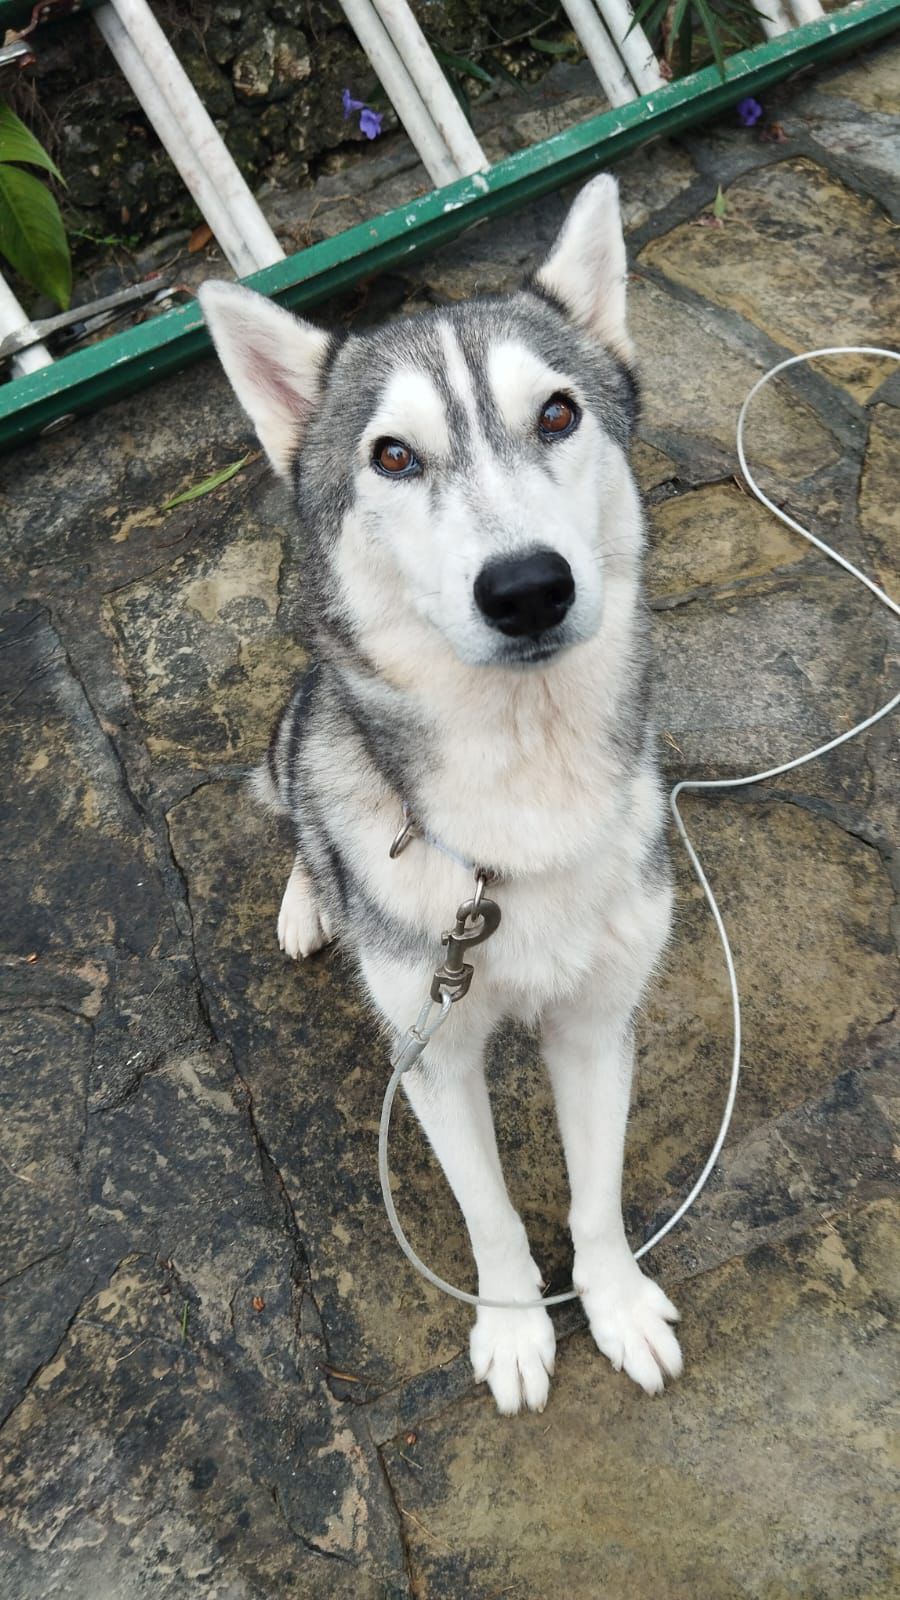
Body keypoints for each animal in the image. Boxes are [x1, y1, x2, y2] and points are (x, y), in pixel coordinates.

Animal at [199, 174, 682, 1415]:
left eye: (558, 415)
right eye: (392, 457)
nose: (526, 588)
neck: (524, 784)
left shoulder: (599, 1021)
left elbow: (595, 1196)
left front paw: (613, 1303)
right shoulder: (433, 1051)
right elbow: (491, 1214)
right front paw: (513, 1326)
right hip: (296, 729)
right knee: (300, 814)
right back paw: (308, 899)